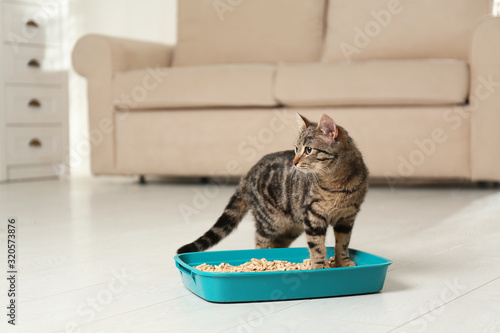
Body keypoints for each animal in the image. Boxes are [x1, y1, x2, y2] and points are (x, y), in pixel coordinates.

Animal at [176, 113, 368, 268]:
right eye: (296, 149)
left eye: (308, 150)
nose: (294, 162)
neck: (337, 182)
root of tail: (247, 174)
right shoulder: (313, 217)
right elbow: (317, 246)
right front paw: (320, 266)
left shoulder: (347, 218)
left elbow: (342, 243)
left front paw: (343, 262)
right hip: (270, 221)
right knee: (260, 240)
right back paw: (262, 260)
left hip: (291, 227)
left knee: (277, 244)